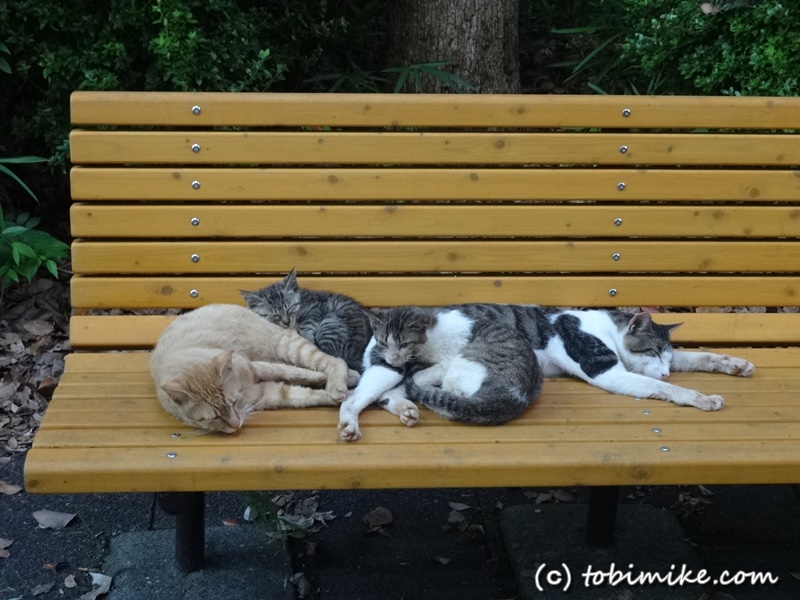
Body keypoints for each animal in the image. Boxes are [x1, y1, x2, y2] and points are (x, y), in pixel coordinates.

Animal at [150, 304, 350, 432]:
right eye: (213, 418)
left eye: (233, 403)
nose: (235, 425)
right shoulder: (265, 394)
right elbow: (302, 395)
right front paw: (327, 395)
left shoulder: (257, 367)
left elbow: (294, 372)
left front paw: (331, 383)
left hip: (287, 345)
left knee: (335, 360)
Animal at [239, 268, 374, 372]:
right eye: (275, 315)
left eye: (289, 309)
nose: (287, 322)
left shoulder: (315, 310)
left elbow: (307, 329)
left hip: (329, 324)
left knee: (335, 356)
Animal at [338, 304, 544, 440]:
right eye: (384, 342)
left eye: (404, 344)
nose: (392, 358)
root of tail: (509, 396)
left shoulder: (445, 362)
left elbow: (418, 378)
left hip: (462, 366)